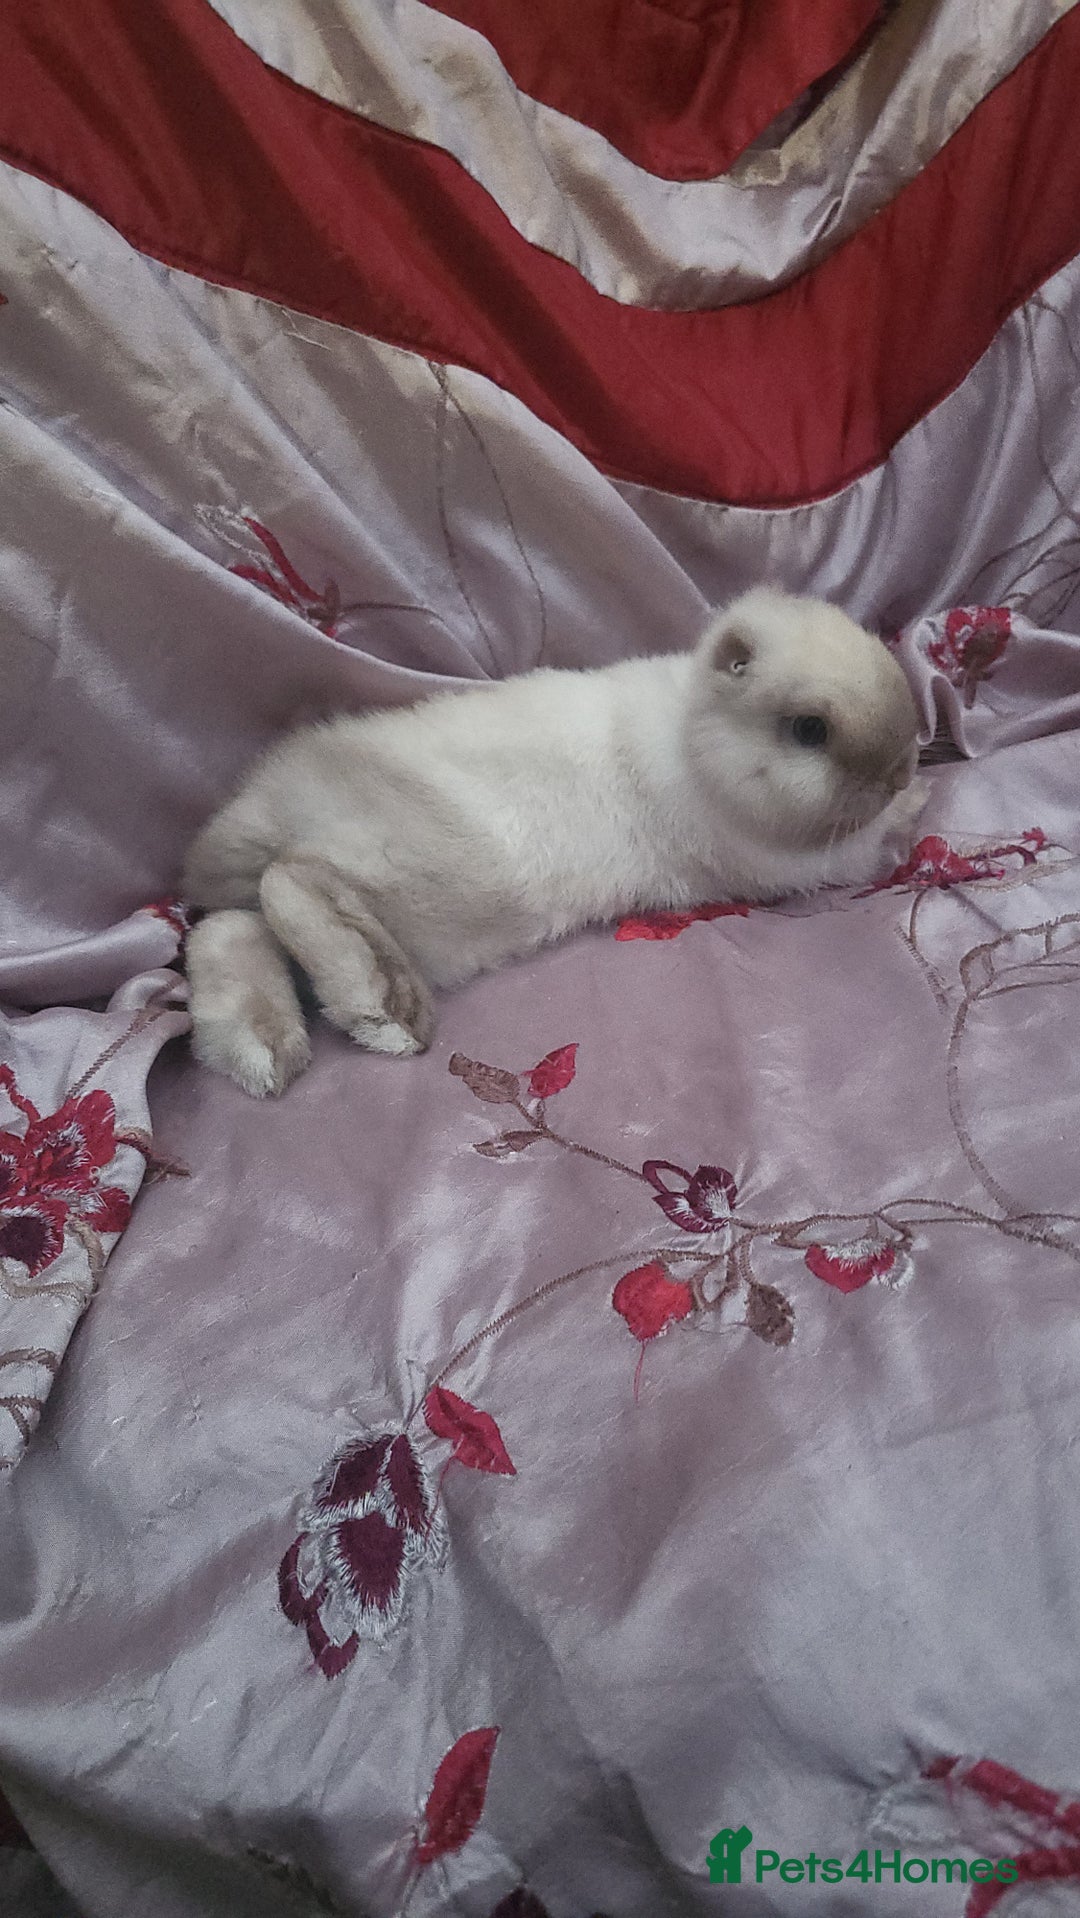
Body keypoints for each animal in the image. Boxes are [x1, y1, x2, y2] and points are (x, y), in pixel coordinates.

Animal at [183, 588, 924, 1096]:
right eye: (809, 729)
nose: (901, 769)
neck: (694, 741)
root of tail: (271, 801)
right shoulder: (788, 859)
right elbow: (864, 848)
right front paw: (911, 814)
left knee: (227, 929)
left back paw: (264, 1054)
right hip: (436, 871)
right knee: (290, 881)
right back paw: (388, 1012)